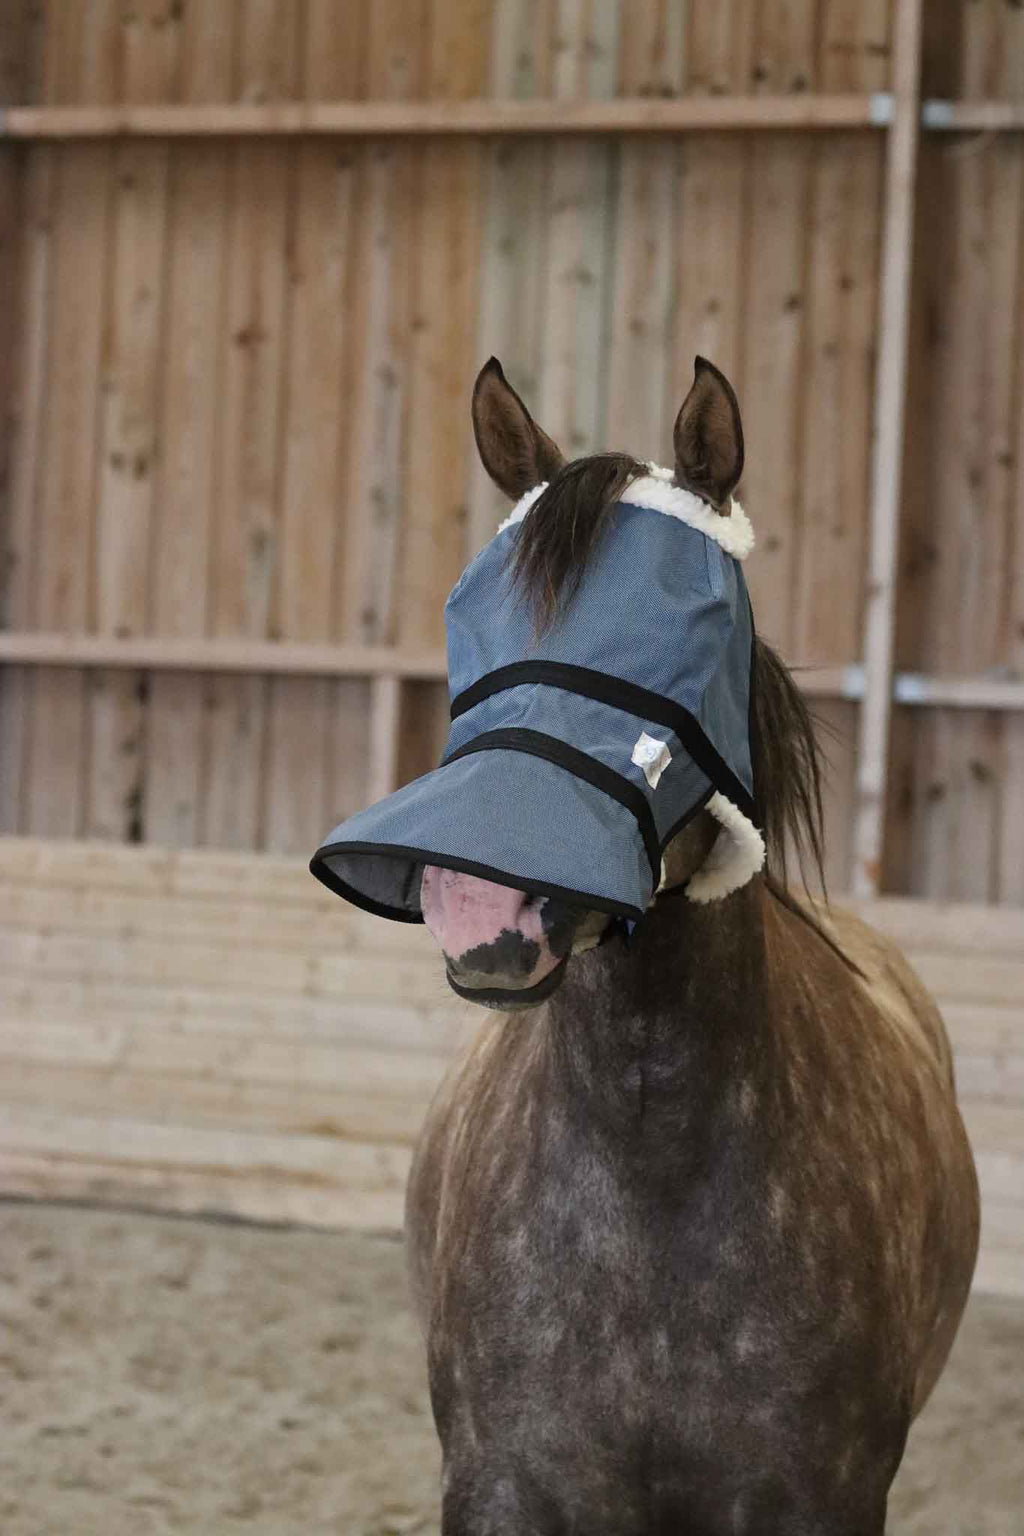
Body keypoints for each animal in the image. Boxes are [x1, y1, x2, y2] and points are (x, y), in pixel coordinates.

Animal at [403, 357, 980, 1535]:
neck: (648, 1176)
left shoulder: (820, 1500)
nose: (484, 902)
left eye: (684, 632)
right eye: (468, 613)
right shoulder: (500, 1489)